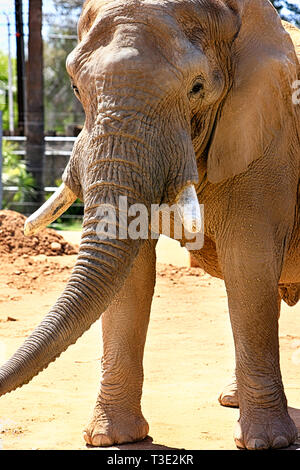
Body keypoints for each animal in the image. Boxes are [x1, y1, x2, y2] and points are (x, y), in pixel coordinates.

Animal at [0, 0, 300, 452]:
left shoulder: (268, 140)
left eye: (197, 88)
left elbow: (249, 266)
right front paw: (112, 438)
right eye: (75, 88)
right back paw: (229, 400)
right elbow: (131, 276)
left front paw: (269, 443)